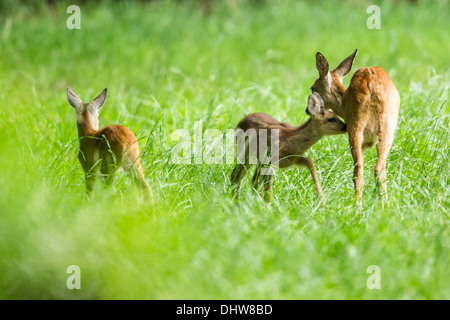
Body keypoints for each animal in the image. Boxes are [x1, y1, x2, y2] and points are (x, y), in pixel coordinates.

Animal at [310, 49, 400, 205]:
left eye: (312, 88)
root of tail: (371, 84)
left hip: (356, 125)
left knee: (360, 172)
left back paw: (357, 206)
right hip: (386, 126)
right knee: (377, 170)